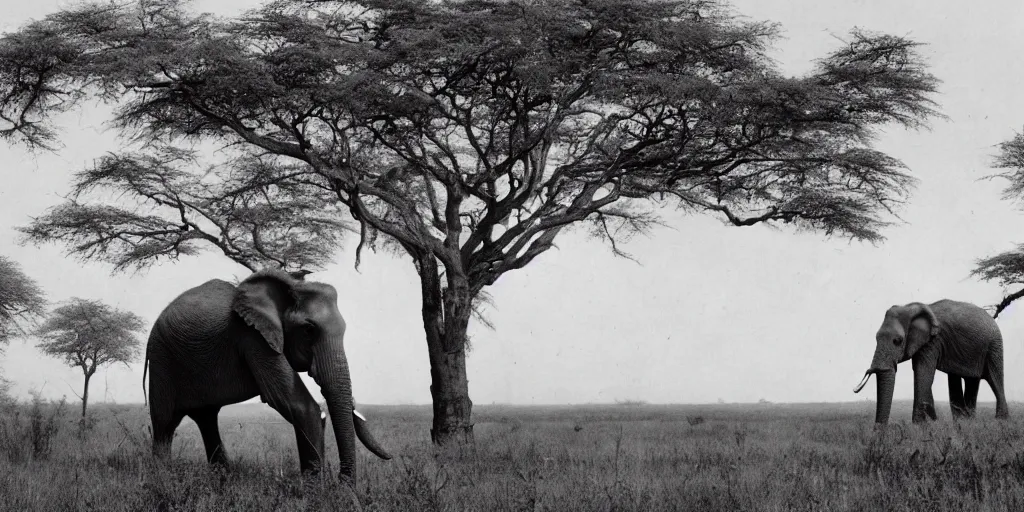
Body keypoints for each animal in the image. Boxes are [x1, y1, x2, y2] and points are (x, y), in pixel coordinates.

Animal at [146, 268, 393, 487]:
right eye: (308, 329)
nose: (342, 483)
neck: (289, 285)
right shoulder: (253, 336)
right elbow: (299, 407)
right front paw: (318, 495)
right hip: (161, 362)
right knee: (164, 427)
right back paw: (163, 483)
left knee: (206, 420)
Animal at [851, 299, 1011, 423]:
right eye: (876, 338)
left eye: (897, 341)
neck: (910, 308)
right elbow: (922, 373)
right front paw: (932, 422)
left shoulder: (933, 340)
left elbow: (923, 371)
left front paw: (920, 426)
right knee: (966, 380)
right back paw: (966, 422)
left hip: (994, 345)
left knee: (995, 379)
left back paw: (1000, 421)